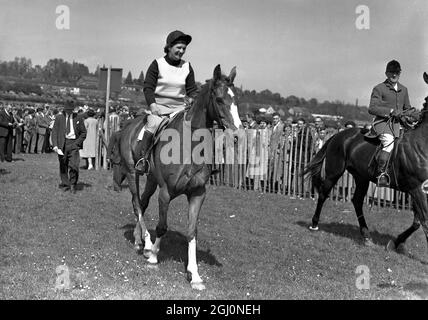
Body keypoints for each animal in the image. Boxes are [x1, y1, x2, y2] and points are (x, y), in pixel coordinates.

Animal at [118, 63, 242, 288]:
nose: (238, 134)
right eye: (220, 99)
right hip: (132, 173)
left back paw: (139, 240)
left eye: (236, 100)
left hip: (151, 180)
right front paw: (154, 256)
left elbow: (192, 231)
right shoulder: (166, 192)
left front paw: (195, 275)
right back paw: (147, 243)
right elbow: (162, 226)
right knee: (137, 203)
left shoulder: (198, 194)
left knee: (142, 202)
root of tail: (130, 124)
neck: (189, 146)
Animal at [302, 72, 428, 255]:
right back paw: (314, 224)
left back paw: (366, 235)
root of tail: (338, 134)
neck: (421, 144)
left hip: (361, 177)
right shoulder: (416, 189)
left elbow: (417, 222)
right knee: (324, 194)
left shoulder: (418, 191)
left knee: (357, 201)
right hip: (335, 171)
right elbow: (424, 221)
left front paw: (396, 242)